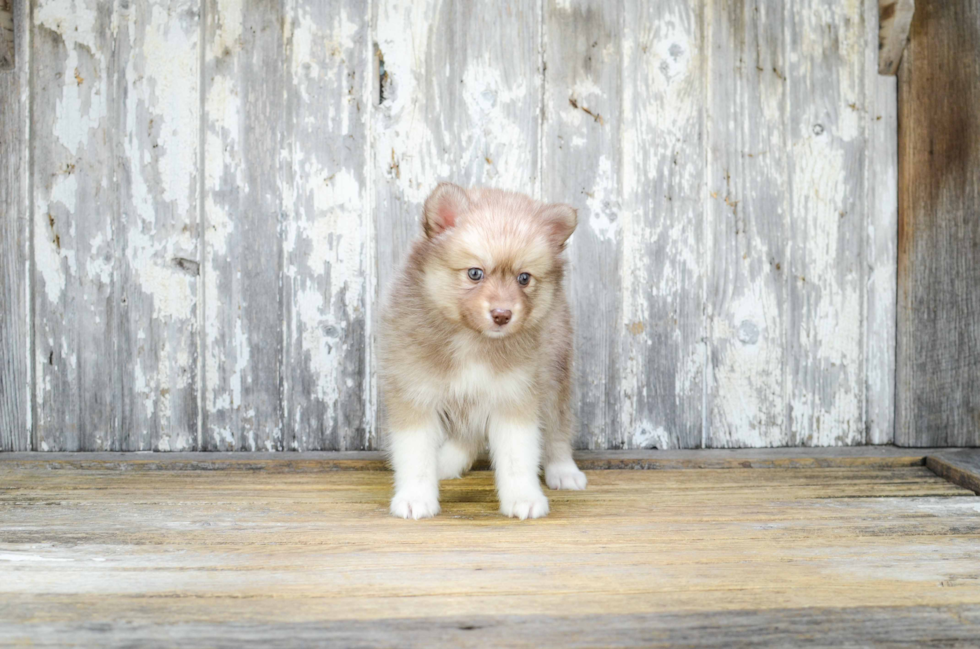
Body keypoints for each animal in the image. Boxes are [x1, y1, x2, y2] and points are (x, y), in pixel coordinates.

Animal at [378, 184, 584, 520]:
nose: (502, 315)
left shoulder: (514, 394)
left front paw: (523, 497)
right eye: (475, 273)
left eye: (524, 278)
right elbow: (415, 455)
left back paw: (564, 470)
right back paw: (446, 463)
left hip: (554, 374)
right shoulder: (414, 393)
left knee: (557, 427)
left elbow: (517, 456)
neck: (471, 340)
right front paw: (415, 497)